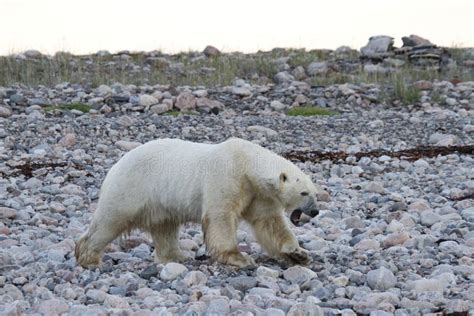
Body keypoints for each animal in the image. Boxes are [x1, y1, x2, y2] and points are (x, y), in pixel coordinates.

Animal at [76, 138, 320, 266]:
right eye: (304, 193)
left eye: (316, 192)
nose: (316, 211)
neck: (246, 163)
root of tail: (116, 164)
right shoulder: (227, 177)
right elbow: (220, 216)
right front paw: (239, 257)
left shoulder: (258, 193)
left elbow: (269, 223)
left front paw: (298, 253)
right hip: (131, 186)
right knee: (111, 220)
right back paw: (88, 256)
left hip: (159, 202)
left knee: (165, 227)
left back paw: (176, 256)